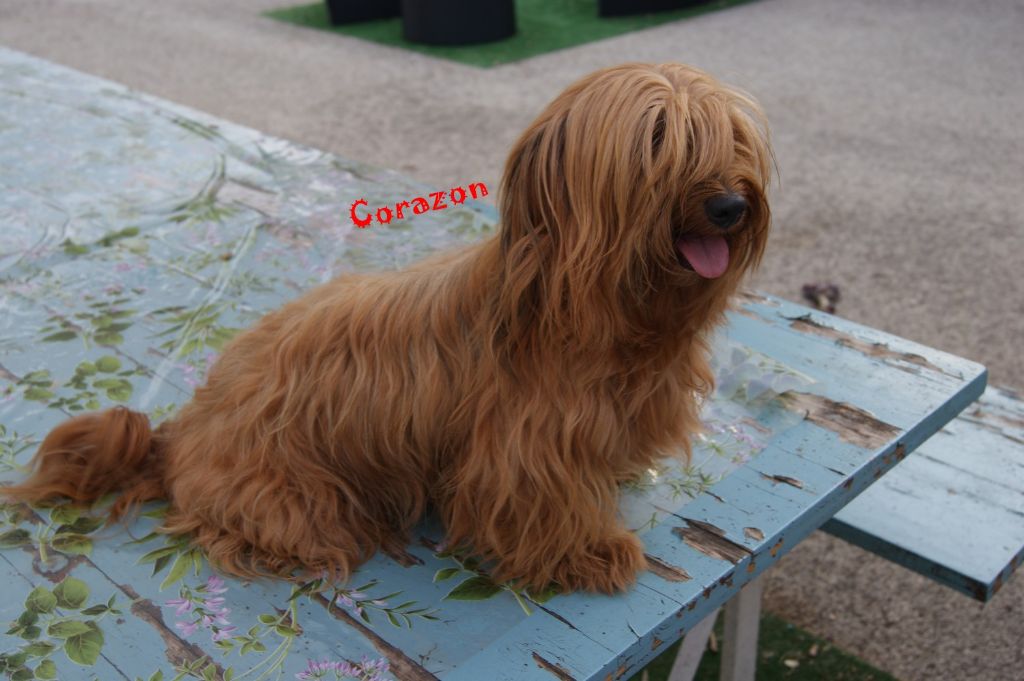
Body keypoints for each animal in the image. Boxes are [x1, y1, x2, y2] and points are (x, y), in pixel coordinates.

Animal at [4, 63, 772, 594]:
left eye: (731, 136)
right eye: (659, 138)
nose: (732, 205)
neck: (599, 309)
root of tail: (178, 435)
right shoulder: (523, 451)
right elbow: (545, 504)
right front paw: (587, 550)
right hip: (297, 495)